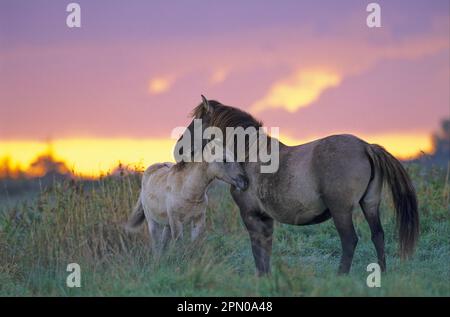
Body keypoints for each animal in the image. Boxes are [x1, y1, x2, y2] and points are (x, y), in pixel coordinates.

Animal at [177, 95, 418, 274]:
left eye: (198, 122)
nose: (178, 149)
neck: (249, 154)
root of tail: (366, 147)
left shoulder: (250, 214)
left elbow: (257, 250)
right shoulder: (265, 218)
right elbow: (266, 249)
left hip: (341, 210)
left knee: (350, 240)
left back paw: (341, 276)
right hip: (370, 204)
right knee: (378, 235)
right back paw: (382, 273)